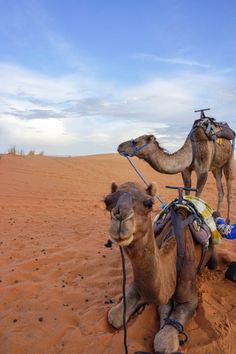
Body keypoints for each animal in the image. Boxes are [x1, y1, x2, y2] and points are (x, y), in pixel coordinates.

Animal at [104, 183, 217, 354]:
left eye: (149, 203)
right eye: (107, 201)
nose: (121, 218)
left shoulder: (190, 299)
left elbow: (163, 342)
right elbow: (115, 316)